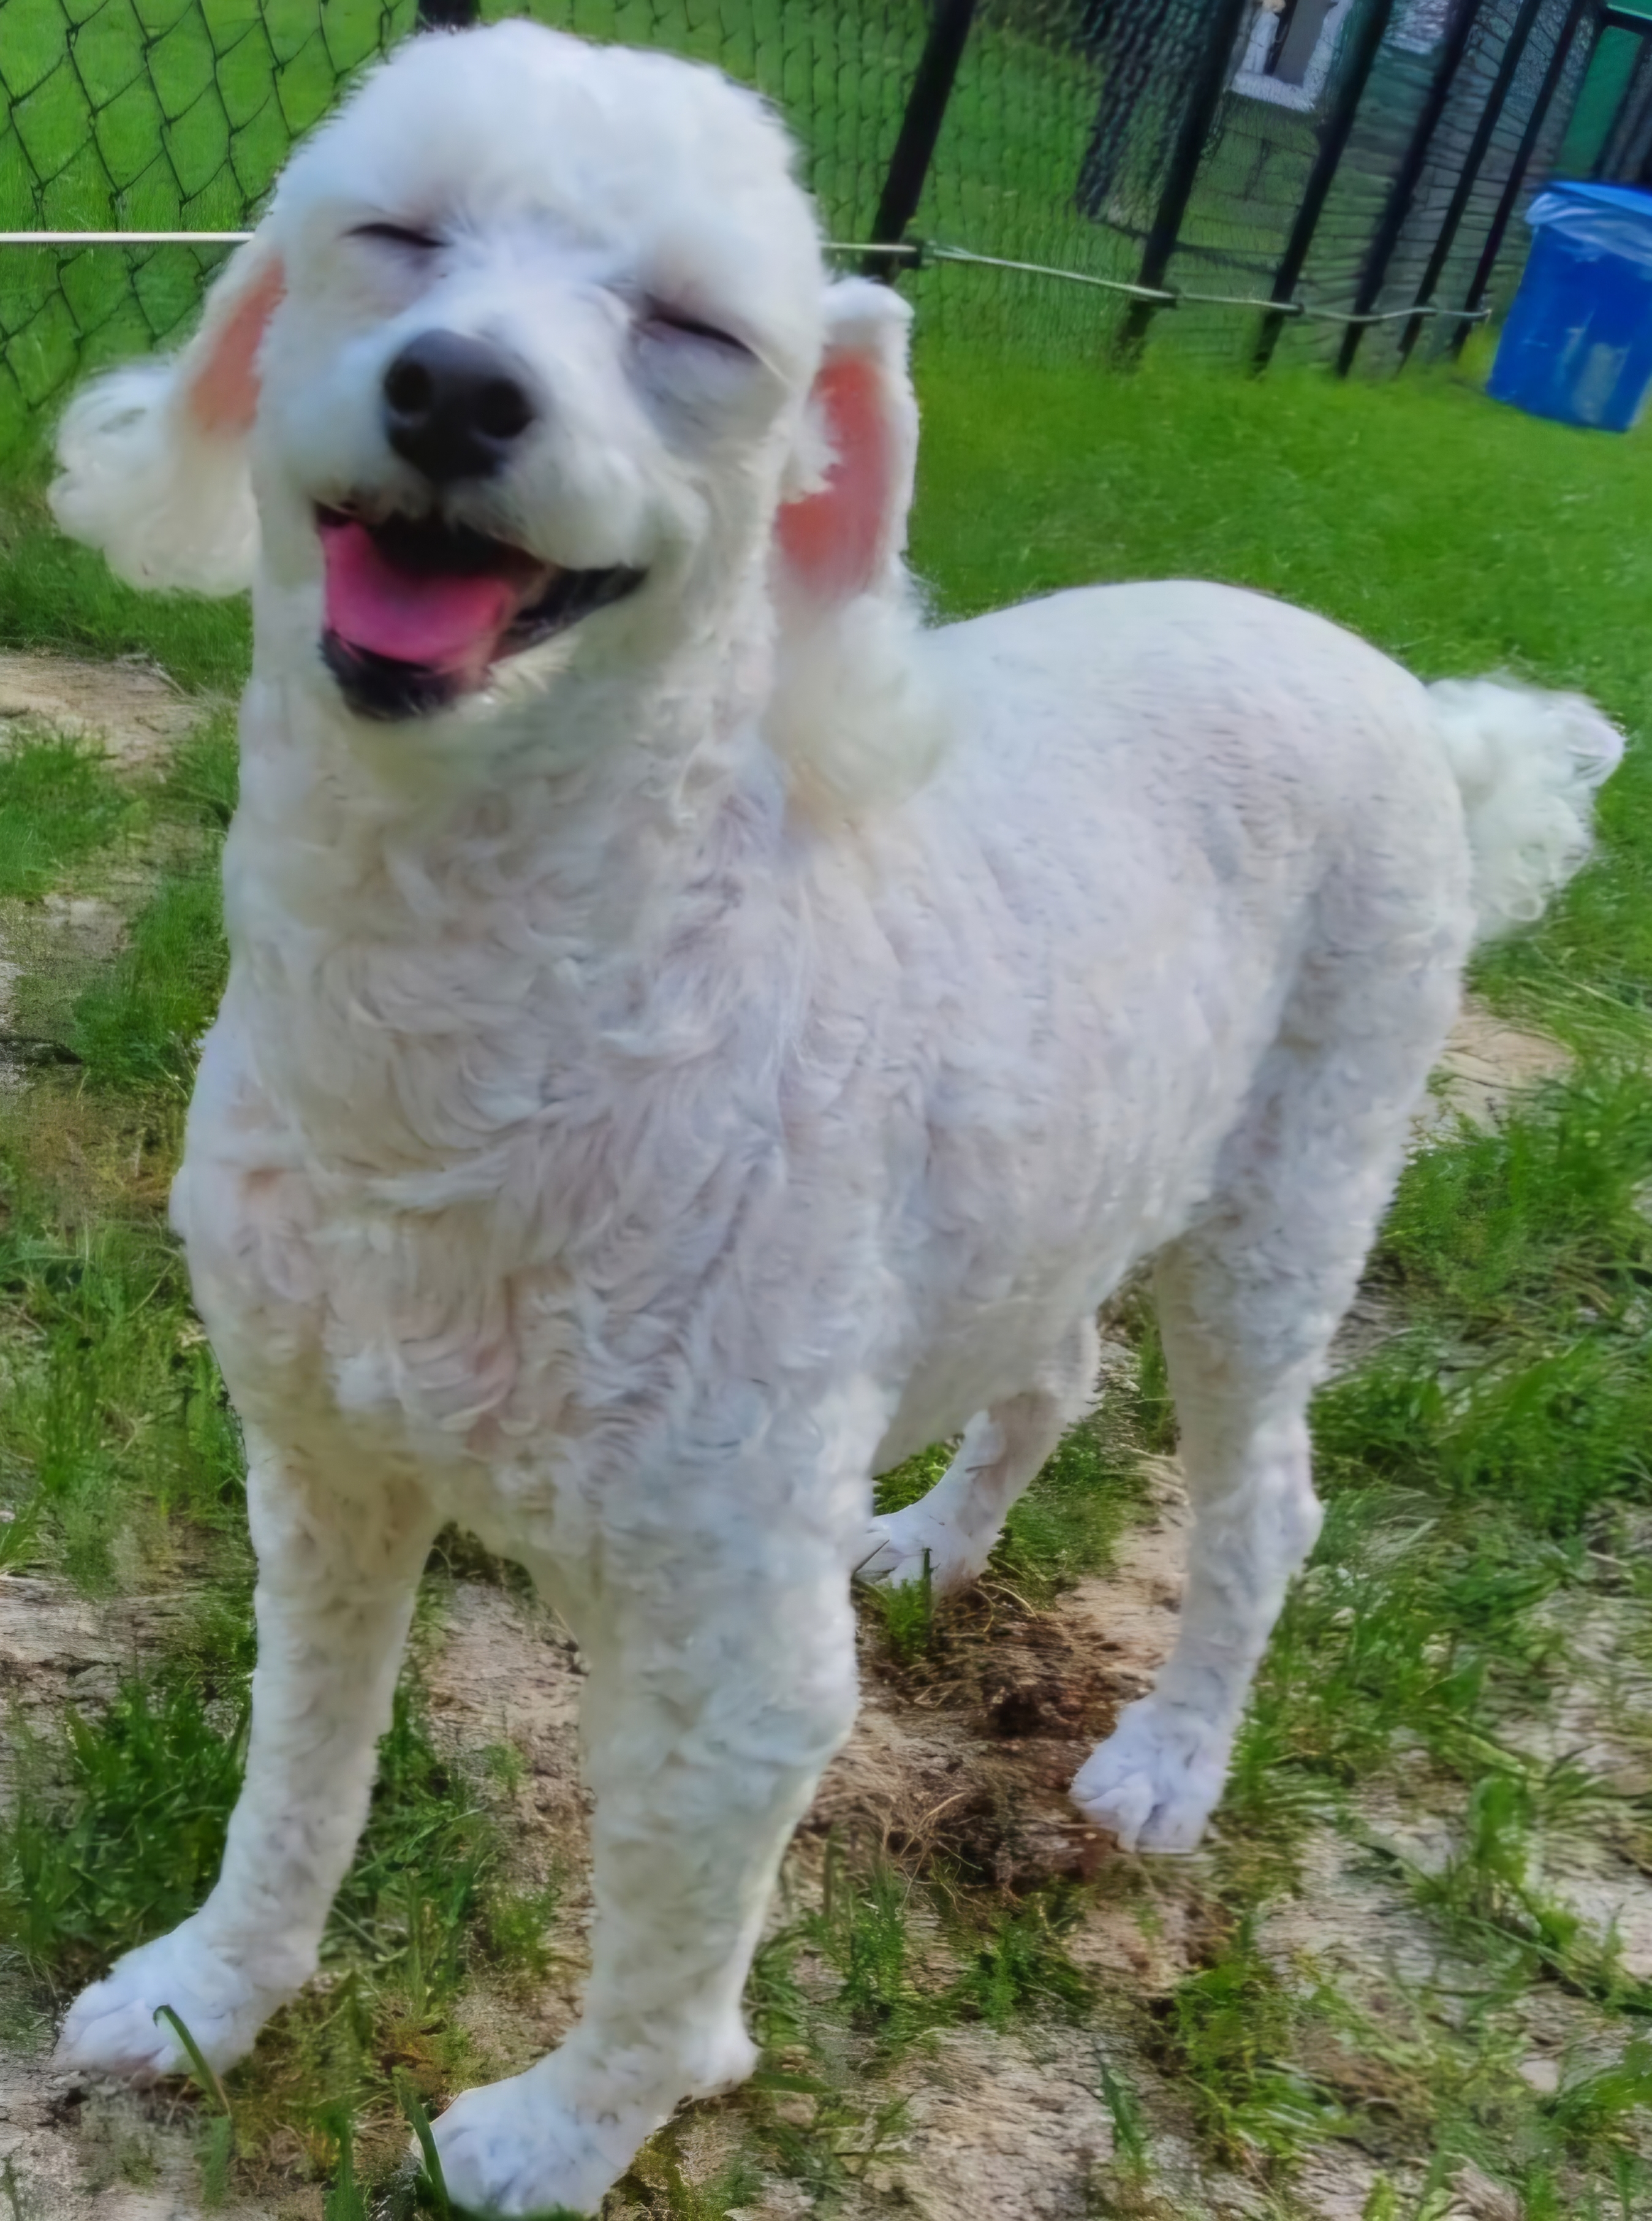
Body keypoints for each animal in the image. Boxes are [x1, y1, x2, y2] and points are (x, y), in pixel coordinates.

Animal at [46, 20, 1621, 2214]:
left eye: (698, 331)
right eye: (395, 236)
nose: (457, 390)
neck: (479, 1024)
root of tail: (1412, 691)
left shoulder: (729, 1653)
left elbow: (665, 1933)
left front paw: (568, 2128)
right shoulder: (326, 1479)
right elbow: (298, 1778)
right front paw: (211, 1989)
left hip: (1287, 1204)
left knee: (1267, 1504)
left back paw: (1166, 1758)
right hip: (1051, 1173)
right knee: (1051, 1372)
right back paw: (940, 1540)